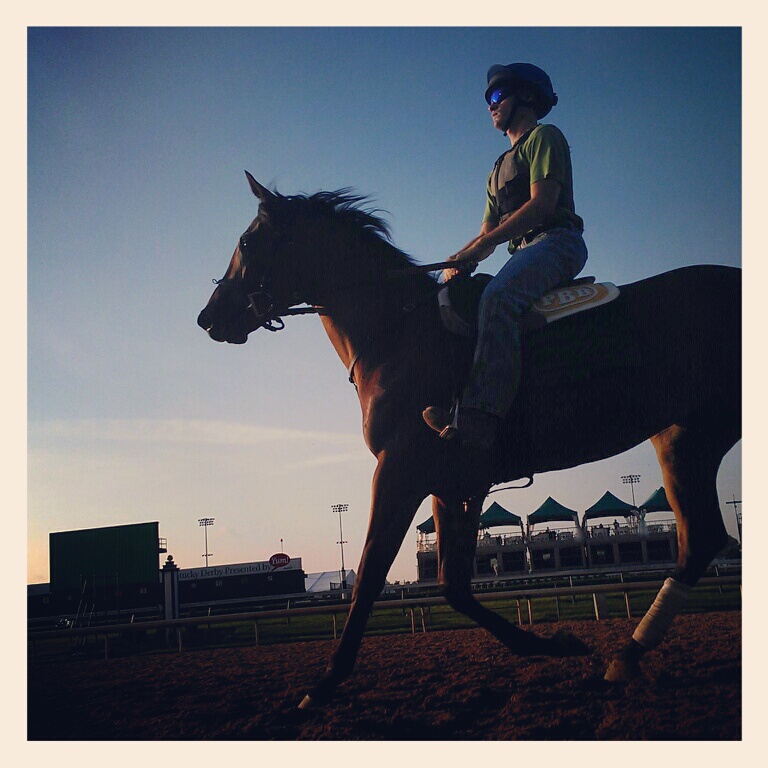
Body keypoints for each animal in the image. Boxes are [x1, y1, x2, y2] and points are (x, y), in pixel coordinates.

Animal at [198, 172, 741, 709]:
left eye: (246, 241)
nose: (208, 317)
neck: (399, 334)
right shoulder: (452, 482)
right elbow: (452, 585)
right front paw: (557, 643)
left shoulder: (400, 469)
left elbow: (371, 573)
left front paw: (326, 682)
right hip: (679, 438)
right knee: (702, 538)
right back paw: (626, 657)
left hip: (697, 435)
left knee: (705, 537)